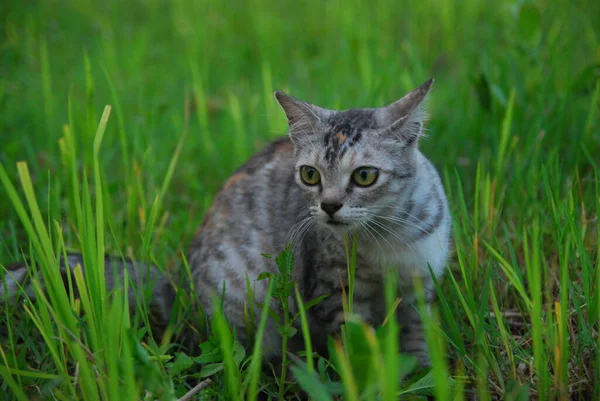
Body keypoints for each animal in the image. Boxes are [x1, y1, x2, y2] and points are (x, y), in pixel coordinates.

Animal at [0, 77, 450, 366]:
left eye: (364, 176)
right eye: (310, 175)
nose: (329, 206)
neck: (387, 241)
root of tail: (176, 285)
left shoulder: (420, 289)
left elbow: (418, 343)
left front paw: (422, 375)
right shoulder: (331, 292)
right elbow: (354, 349)